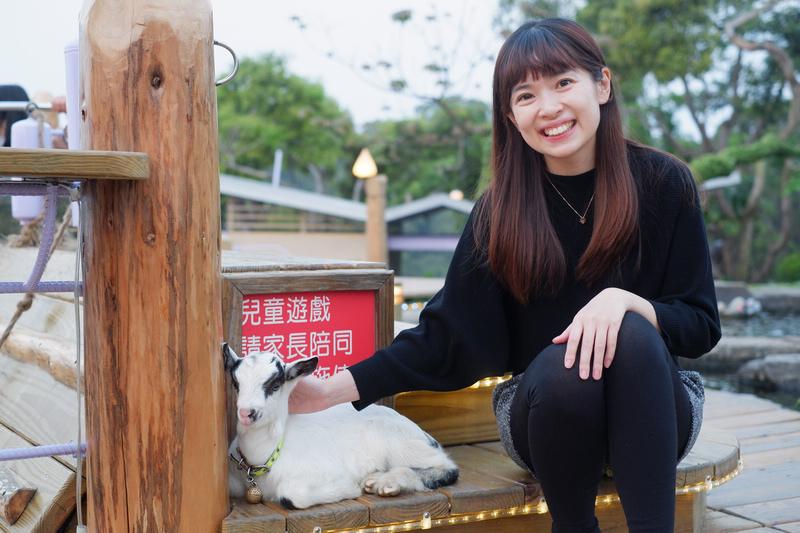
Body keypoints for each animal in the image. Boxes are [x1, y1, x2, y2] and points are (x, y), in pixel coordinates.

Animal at [222, 342, 460, 510]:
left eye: (275, 385)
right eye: (236, 383)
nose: (247, 414)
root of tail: (421, 433)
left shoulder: (321, 469)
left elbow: (291, 494)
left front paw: (349, 487)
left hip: (395, 441)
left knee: (447, 468)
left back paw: (388, 483)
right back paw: (375, 480)